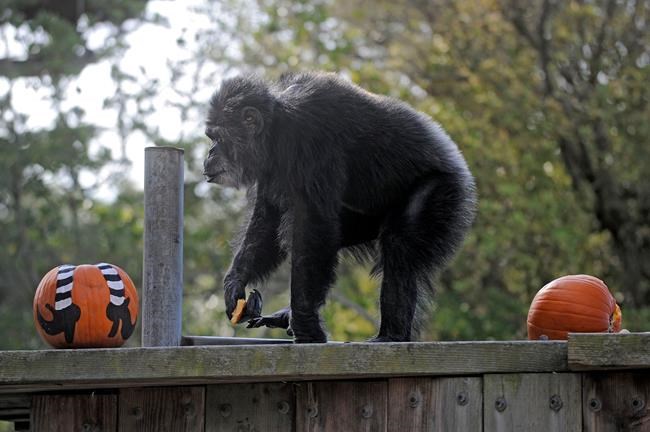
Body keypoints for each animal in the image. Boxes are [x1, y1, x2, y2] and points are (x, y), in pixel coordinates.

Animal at [204, 71, 477, 343]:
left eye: (218, 138)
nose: (209, 153)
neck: (276, 129)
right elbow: (268, 220)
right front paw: (234, 285)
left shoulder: (310, 136)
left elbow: (312, 222)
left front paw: (306, 326)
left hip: (443, 191)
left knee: (398, 244)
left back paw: (391, 335)